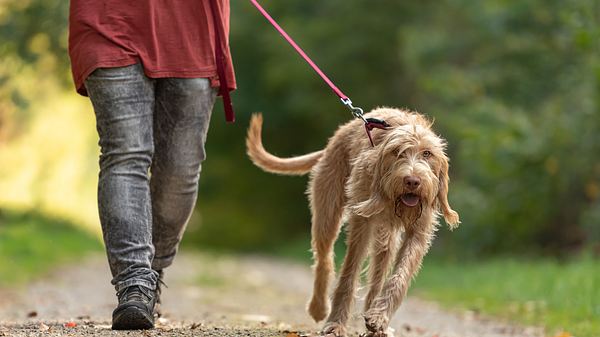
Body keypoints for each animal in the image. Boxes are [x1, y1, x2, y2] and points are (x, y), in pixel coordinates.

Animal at [245, 107, 460, 336]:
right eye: (397, 152)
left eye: (427, 153)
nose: (412, 181)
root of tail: (338, 135)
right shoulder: (361, 223)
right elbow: (348, 273)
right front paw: (335, 323)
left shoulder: (419, 231)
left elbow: (400, 277)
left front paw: (379, 317)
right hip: (327, 214)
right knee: (324, 260)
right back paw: (319, 307)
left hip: (385, 238)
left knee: (377, 275)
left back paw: (374, 319)